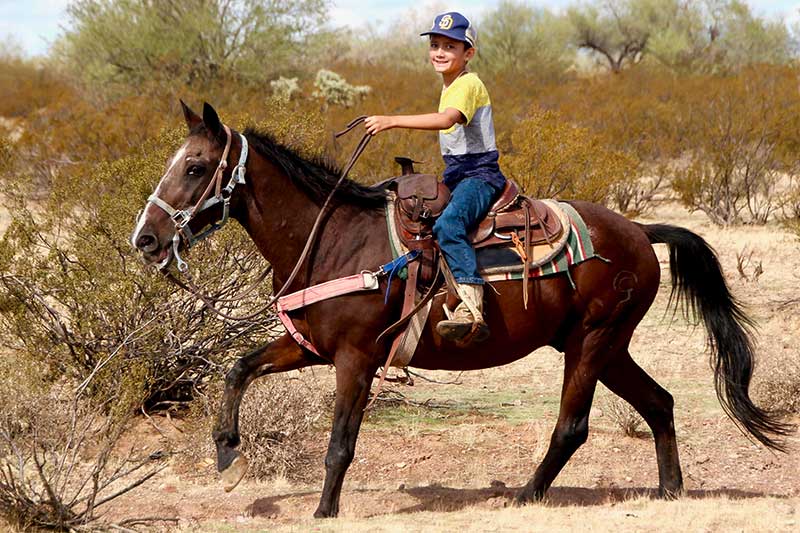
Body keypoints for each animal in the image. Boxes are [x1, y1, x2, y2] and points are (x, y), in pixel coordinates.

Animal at [133, 102, 792, 516]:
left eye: (195, 166)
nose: (146, 239)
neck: (334, 238)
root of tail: (637, 229)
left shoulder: (355, 358)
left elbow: (340, 442)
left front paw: (323, 511)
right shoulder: (310, 347)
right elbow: (239, 368)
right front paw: (227, 454)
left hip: (593, 342)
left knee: (573, 426)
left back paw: (525, 496)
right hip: (606, 346)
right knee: (659, 403)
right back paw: (669, 492)